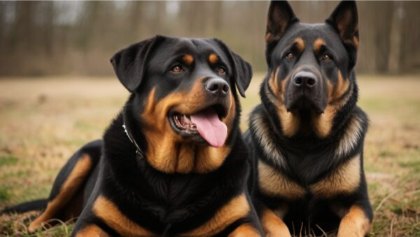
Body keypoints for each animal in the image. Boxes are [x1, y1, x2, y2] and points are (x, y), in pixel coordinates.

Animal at [15, 35, 262, 237]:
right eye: (177, 68)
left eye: (222, 70)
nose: (220, 86)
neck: (175, 175)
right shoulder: (91, 221)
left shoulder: (244, 221)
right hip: (81, 160)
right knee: (44, 213)